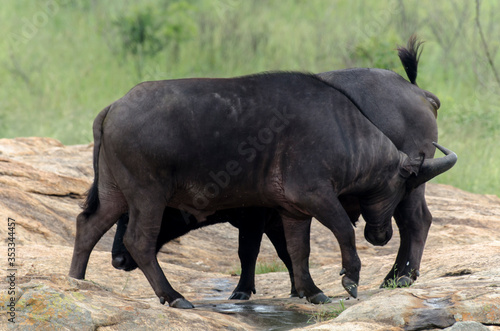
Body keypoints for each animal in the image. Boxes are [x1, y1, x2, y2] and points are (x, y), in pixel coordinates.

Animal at [69, 61, 458, 308]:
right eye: (399, 185)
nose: (380, 236)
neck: (344, 129)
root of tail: (113, 108)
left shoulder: (292, 209)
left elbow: (297, 251)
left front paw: (311, 291)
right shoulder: (314, 196)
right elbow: (341, 232)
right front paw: (348, 279)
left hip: (116, 194)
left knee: (88, 224)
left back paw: (76, 280)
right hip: (146, 194)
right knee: (137, 240)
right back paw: (174, 296)